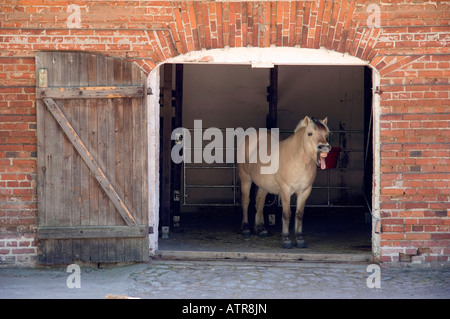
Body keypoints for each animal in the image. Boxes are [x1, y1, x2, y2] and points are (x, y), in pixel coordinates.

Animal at [239, 116, 330, 249]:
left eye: (326, 134)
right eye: (310, 133)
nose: (324, 147)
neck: (298, 160)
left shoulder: (305, 191)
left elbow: (299, 214)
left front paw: (300, 239)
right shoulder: (285, 191)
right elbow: (286, 214)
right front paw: (286, 239)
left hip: (264, 185)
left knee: (259, 202)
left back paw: (261, 229)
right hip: (245, 178)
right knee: (246, 201)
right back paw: (245, 229)